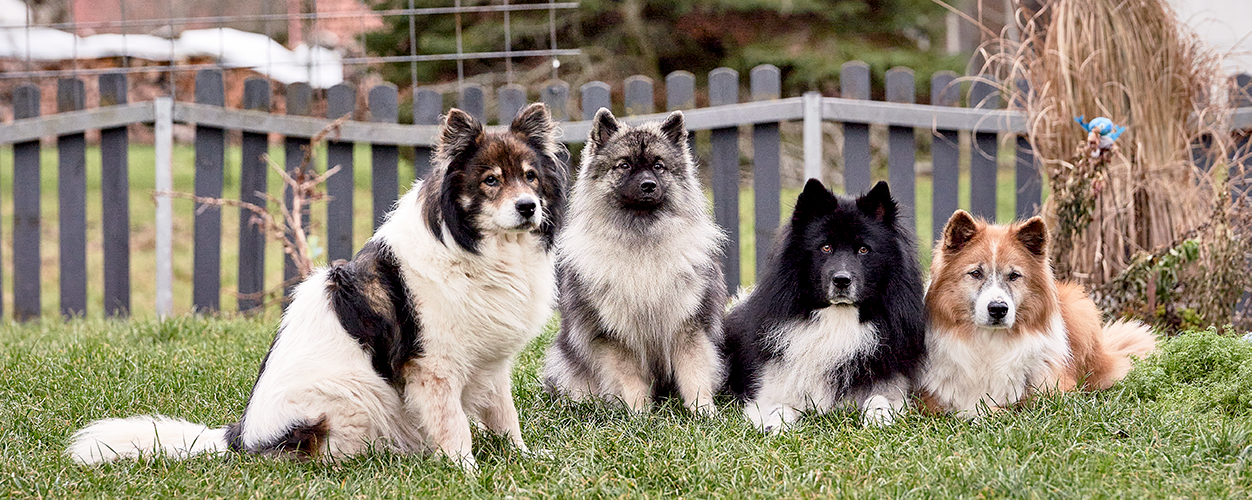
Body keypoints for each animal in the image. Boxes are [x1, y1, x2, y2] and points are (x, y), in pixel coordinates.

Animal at [71, 102, 570, 471]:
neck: (479, 249)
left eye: (530, 177)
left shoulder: (490, 362)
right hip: (353, 395)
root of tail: (239, 438)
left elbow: (505, 416)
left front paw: (524, 457)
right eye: (490, 181)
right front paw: (465, 470)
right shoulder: (433, 367)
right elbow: (454, 426)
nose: (528, 207)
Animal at [543, 106, 731, 416]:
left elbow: (695, 371)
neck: (641, 242)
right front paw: (639, 414)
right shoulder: (616, 336)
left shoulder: (688, 327)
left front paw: (702, 411)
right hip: (563, 357)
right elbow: (629, 378)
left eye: (659, 166)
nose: (648, 185)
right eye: (624, 165)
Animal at [721, 181, 926, 433]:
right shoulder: (773, 388)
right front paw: (775, 425)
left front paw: (878, 418)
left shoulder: (889, 383)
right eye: (826, 247)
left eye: (864, 250)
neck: (838, 319)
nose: (842, 280)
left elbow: (879, 398)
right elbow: (779, 406)